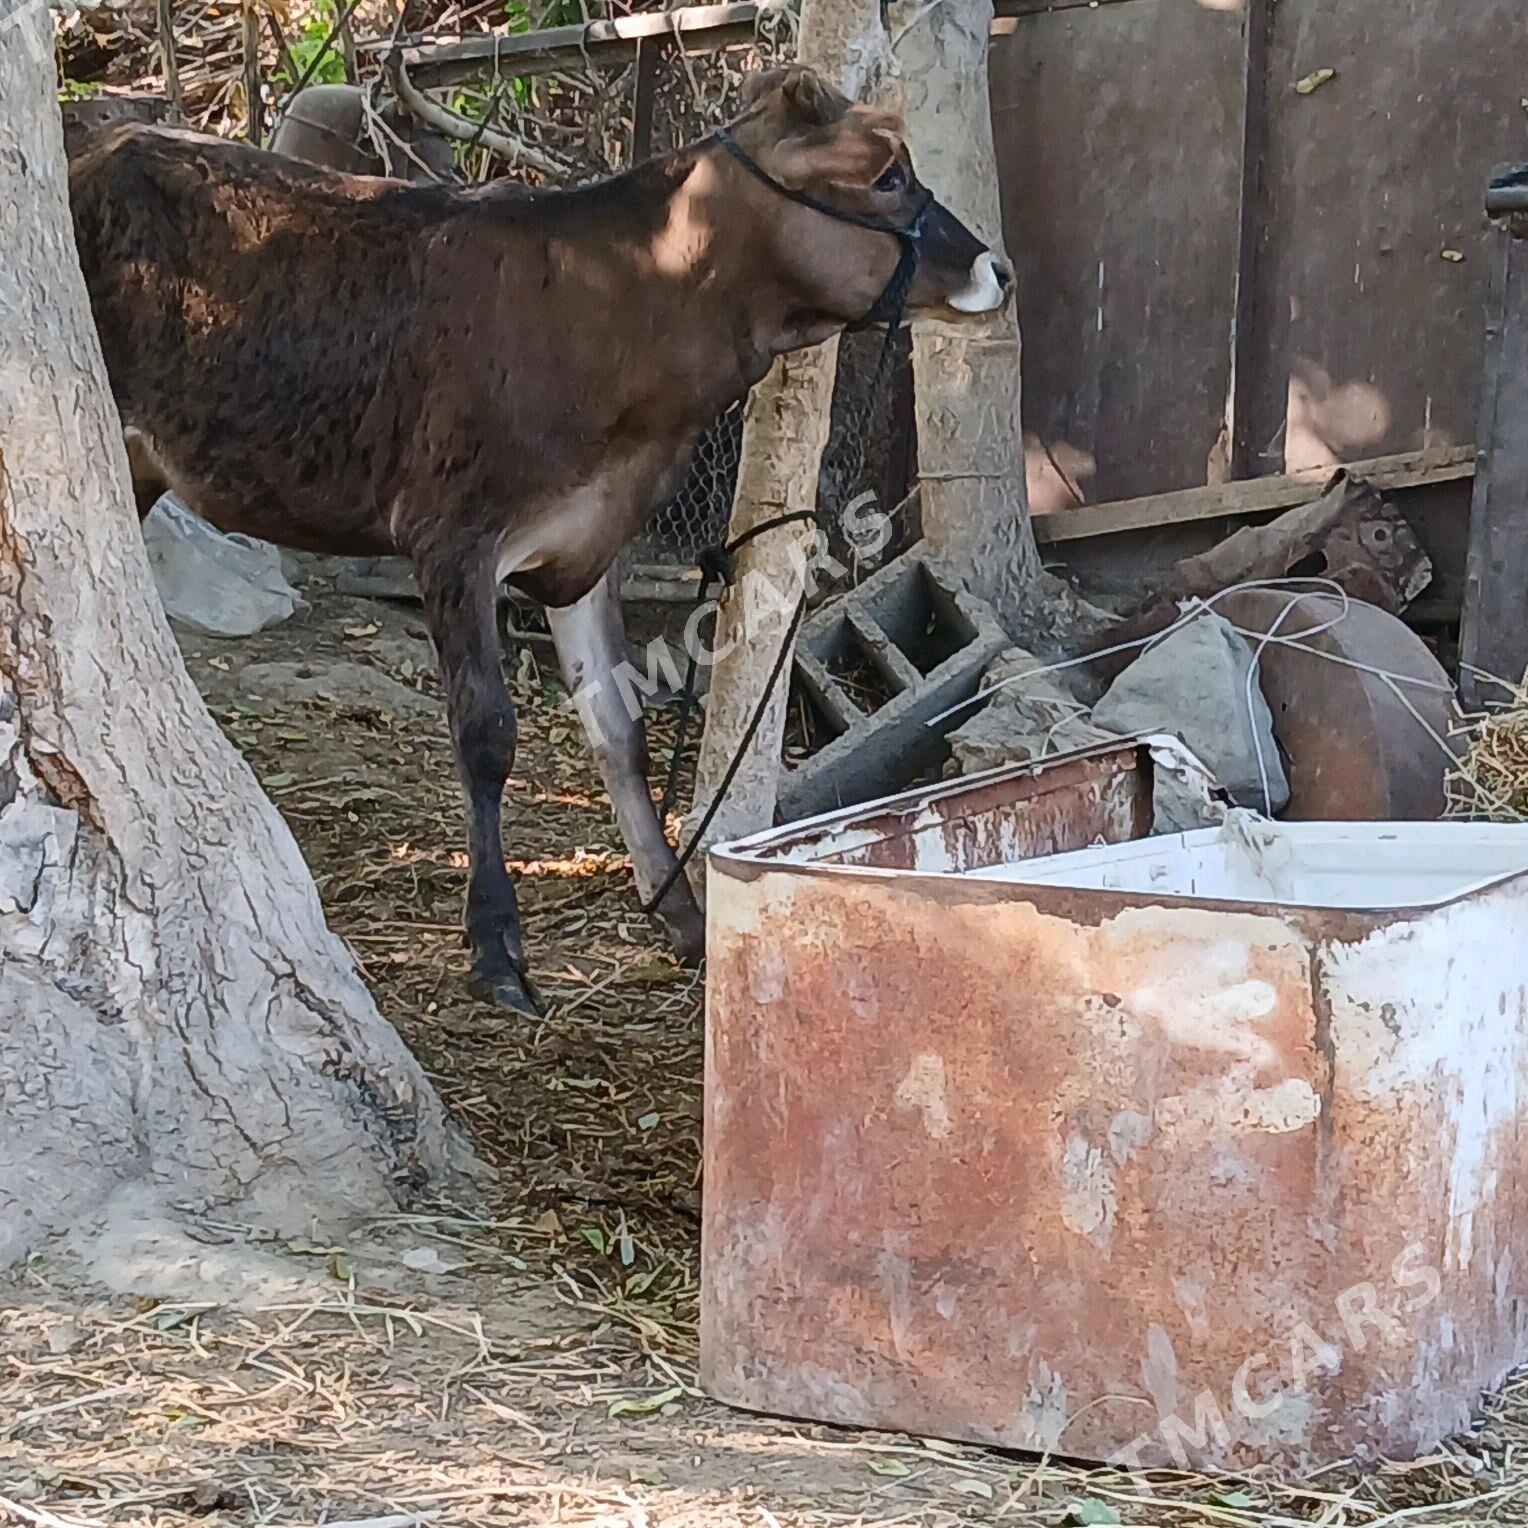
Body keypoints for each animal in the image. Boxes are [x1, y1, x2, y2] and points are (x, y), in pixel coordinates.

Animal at [68, 65, 1014, 1014]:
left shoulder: (585, 543)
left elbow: (618, 728)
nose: (997, 267)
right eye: (886, 175)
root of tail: (104, 144)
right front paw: (496, 947)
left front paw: (679, 912)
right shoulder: (451, 536)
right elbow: (486, 732)